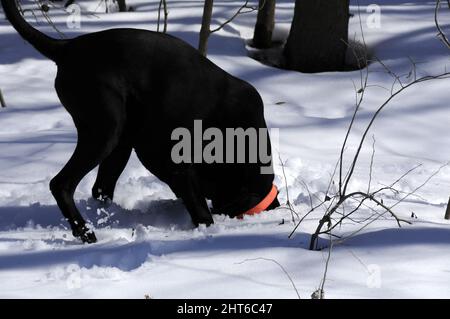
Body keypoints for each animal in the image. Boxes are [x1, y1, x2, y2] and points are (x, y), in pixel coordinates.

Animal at [1, 0, 280, 244]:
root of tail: (67, 48)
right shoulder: (171, 162)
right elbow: (200, 209)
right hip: (105, 131)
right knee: (61, 184)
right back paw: (85, 233)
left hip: (120, 143)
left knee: (100, 189)